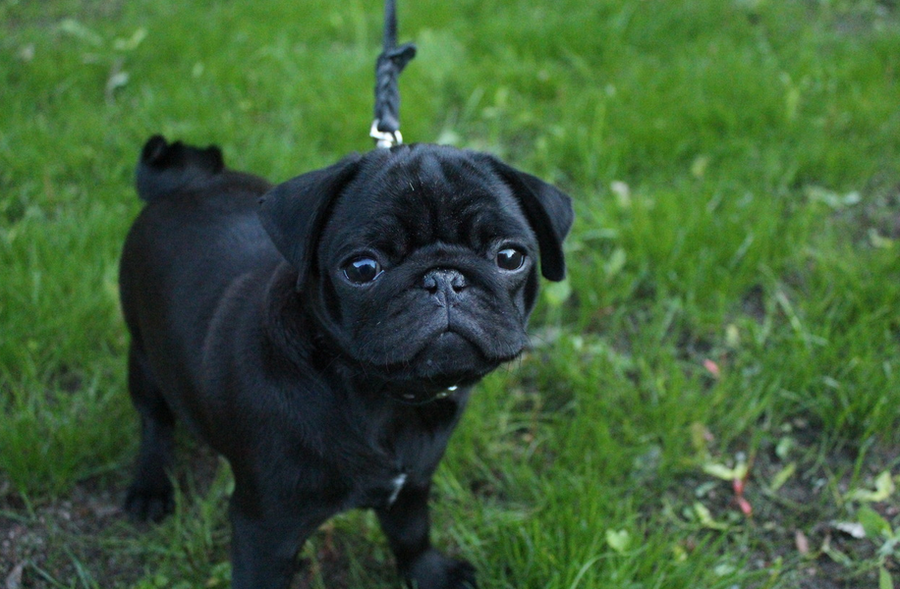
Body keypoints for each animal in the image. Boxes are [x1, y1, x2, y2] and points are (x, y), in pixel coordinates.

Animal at [119, 136, 572, 584]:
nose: (444, 277)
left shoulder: (412, 486)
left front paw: (430, 574)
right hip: (143, 358)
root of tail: (184, 180)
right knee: (155, 421)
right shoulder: (265, 530)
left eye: (510, 257)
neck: (384, 396)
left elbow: (412, 534)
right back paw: (150, 487)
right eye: (362, 268)